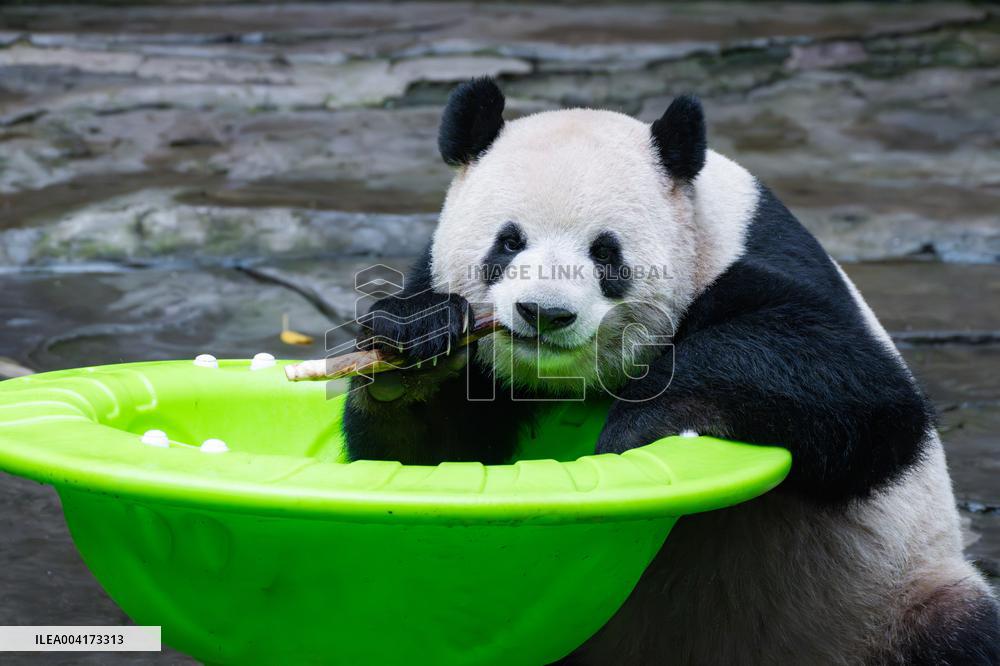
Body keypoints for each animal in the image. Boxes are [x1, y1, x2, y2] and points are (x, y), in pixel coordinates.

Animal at [342, 78, 1000, 665]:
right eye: (508, 242)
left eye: (605, 252)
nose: (544, 314)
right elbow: (428, 457)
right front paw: (416, 353)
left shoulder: (752, 257)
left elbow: (863, 387)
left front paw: (644, 422)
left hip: (895, 599)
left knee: (960, 637)